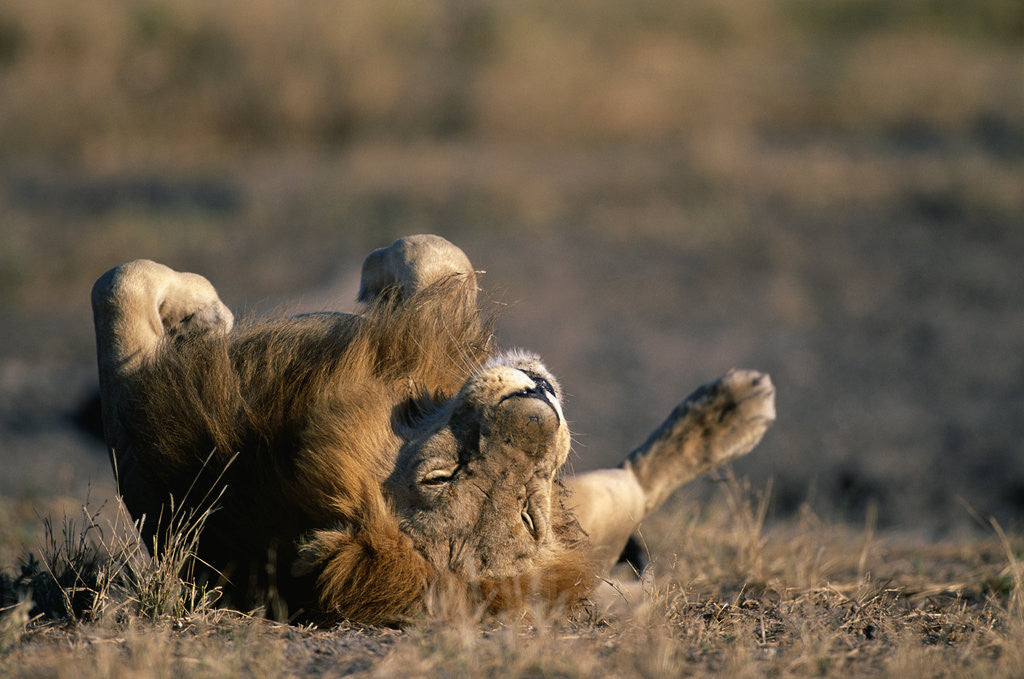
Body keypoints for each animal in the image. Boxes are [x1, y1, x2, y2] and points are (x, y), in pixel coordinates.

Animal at [91, 234, 775, 624]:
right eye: (441, 478)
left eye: (524, 514)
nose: (538, 404)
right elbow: (122, 283)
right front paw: (203, 318)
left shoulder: (137, 426)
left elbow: (118, 283)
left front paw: (205, 313)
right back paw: (732, 408)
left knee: (636, 482)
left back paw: (733, 409)